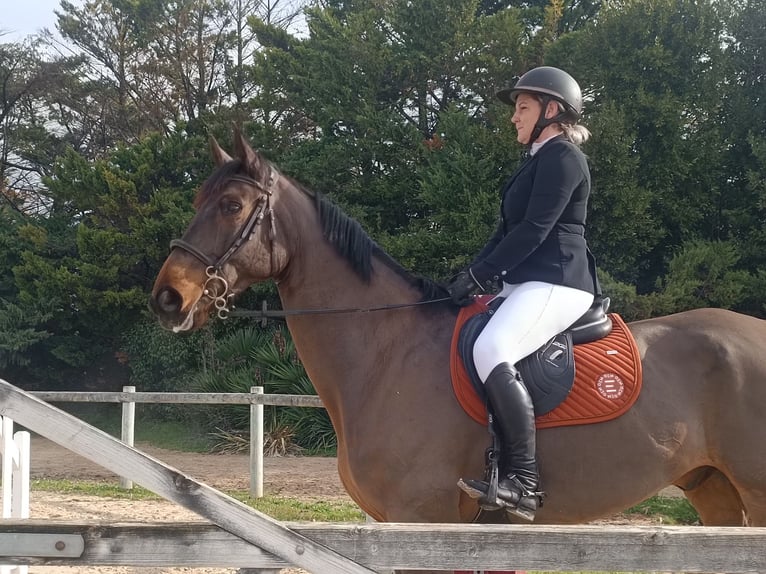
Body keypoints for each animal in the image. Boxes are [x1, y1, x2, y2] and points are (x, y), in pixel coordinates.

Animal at [153, 130, 766, 574]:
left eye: (232, 205)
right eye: (199, 200)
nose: (167, 296)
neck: (385, 352)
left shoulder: (420, 522)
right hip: (711, 488)